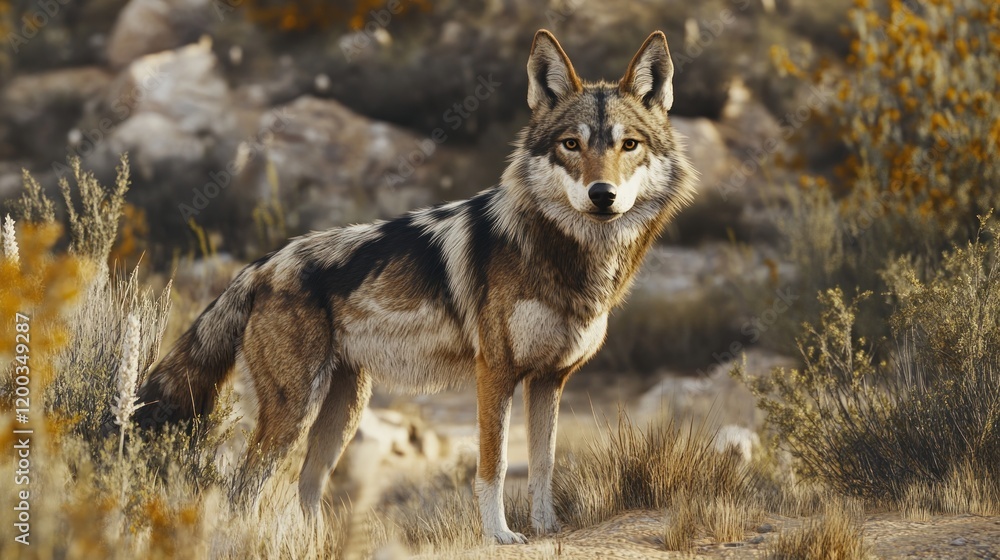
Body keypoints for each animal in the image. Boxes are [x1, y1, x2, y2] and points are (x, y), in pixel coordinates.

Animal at [133, 29, 696, 543]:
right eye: (571, 145)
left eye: (629, 145)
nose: (603, 195)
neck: (570, 258)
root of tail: (263, 264)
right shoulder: (495, 373)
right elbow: (494, 466)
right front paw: (500, 536)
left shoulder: (549, 381)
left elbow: (543, 465)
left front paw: (547, 529)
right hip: (294, 414)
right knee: (243, 491)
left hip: (341, 415)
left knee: (306, 489)